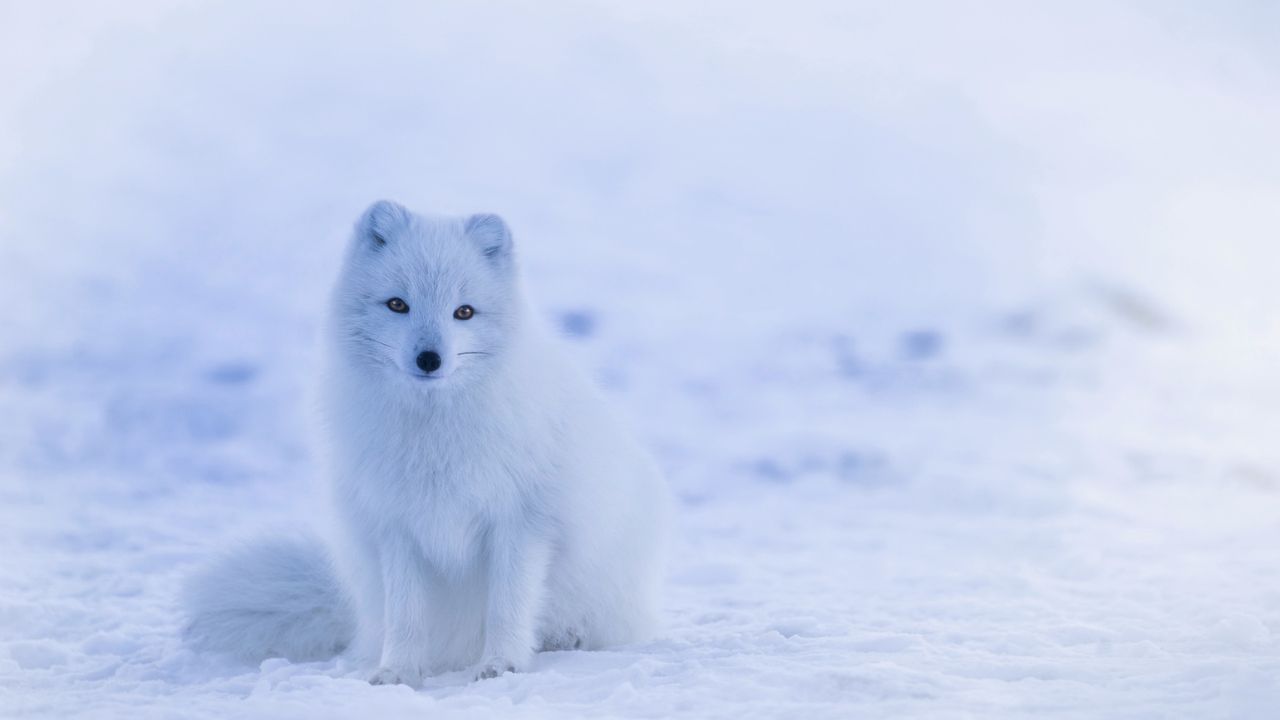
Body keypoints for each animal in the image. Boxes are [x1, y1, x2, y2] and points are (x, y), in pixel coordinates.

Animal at [186, 198, 680, 681]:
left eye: (464, 311)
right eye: (397, 304)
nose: (429, 358)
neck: (434, 433)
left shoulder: (521, 523)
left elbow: (508, 606)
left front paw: (502, 664)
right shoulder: (397, 526)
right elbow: (406, 614)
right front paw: (398, 672)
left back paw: (565, 639)